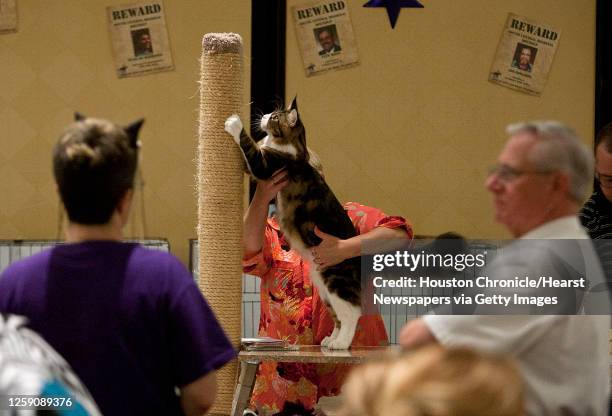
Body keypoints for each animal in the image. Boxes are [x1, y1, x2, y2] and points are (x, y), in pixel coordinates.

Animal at [226, 98, 364, 352]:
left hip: (335, 281)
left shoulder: (265, 164)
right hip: (324, 289)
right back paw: (331, 340)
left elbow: (247, 144)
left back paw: (341, 344)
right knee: (339, 317)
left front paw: (234, 122)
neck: (295, 151)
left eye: (274, 117)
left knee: (352, 312)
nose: (264, 115)